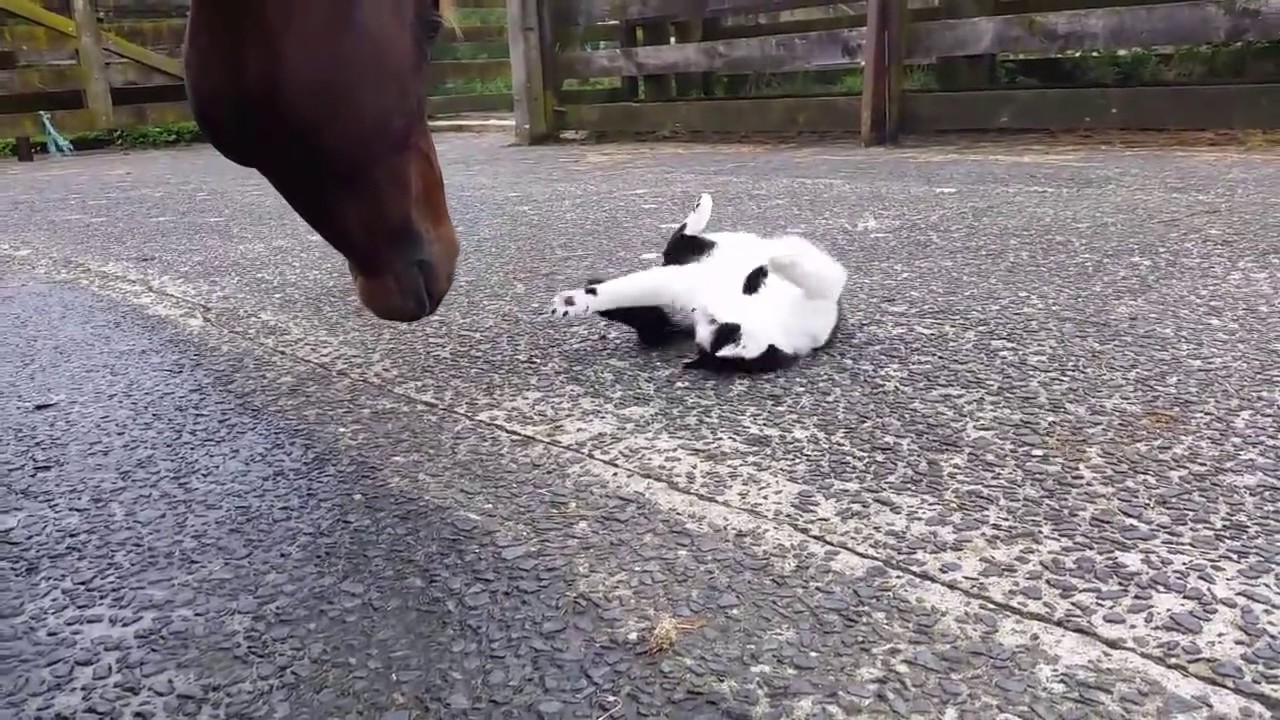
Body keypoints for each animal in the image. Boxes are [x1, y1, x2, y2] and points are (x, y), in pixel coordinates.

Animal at [550, 193, 847, 373]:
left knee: (677, 246)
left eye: (709, 325)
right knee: (681, 237)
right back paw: (703, 207)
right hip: (699, 253)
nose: (696, 310)